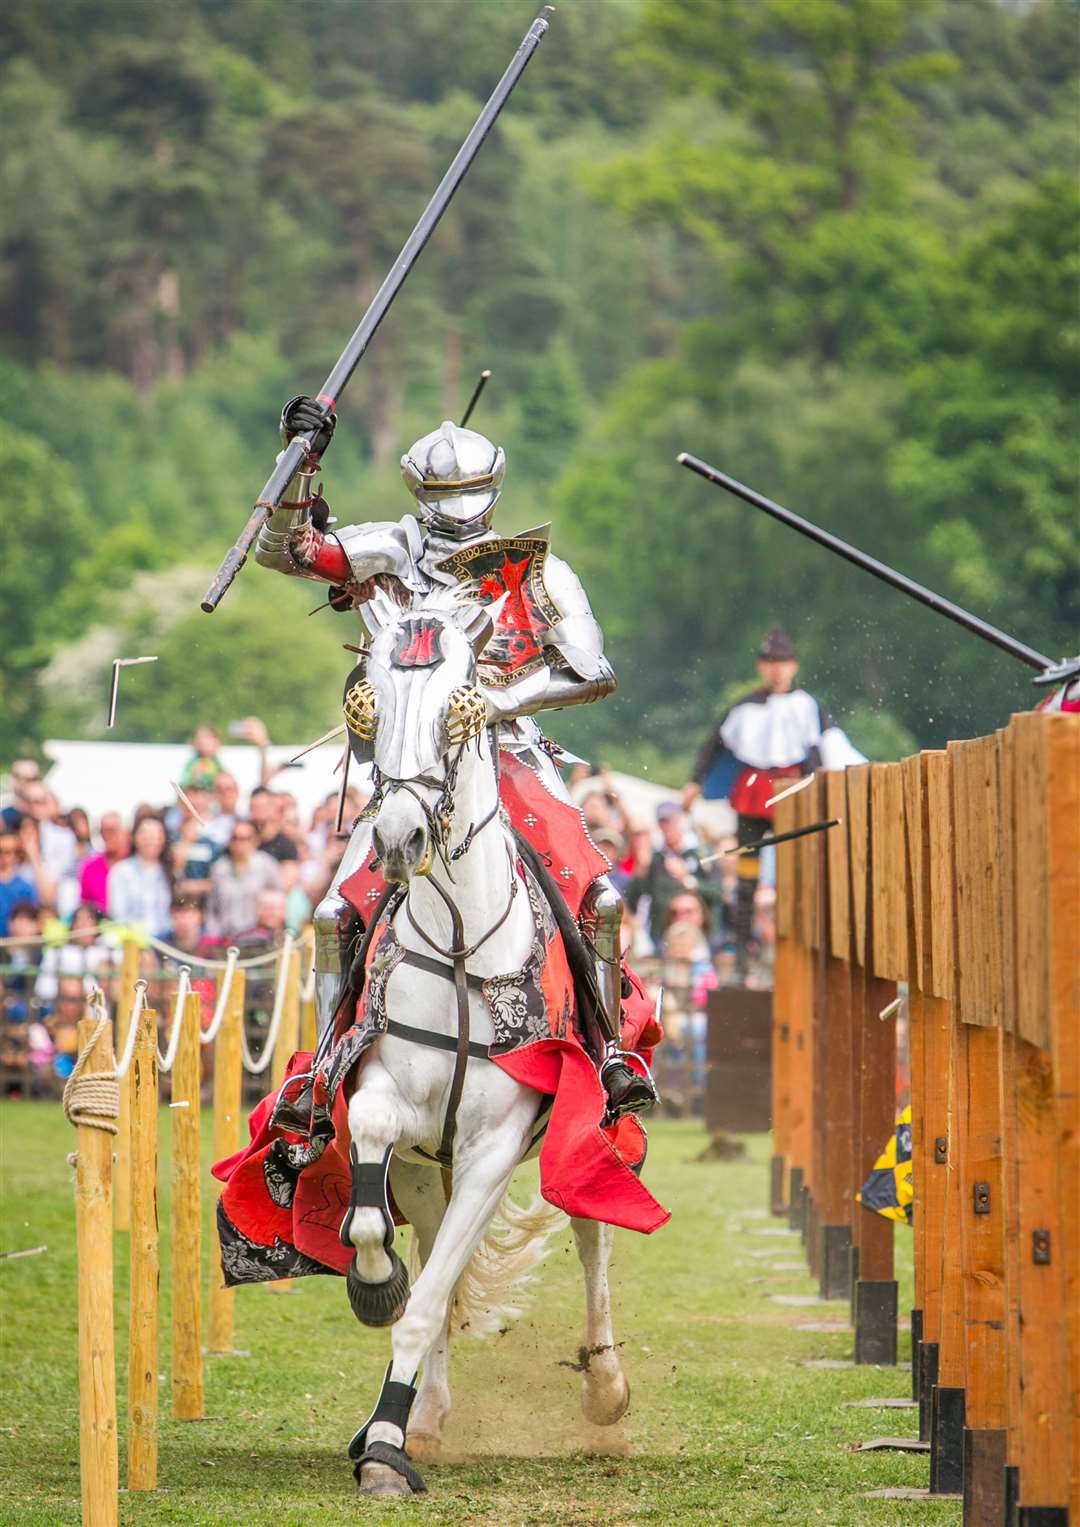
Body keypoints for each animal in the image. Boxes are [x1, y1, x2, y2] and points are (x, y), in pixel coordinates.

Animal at [333, 589, 629, 1496]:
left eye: (457, 714)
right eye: (372, 706)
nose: (397, 840)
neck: (464, 936)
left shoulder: (496, 1146)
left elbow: (432, 1299)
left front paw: (385, 1449)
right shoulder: (393, 1106)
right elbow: (386, 1239)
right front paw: (376, 1290)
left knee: (592, 1233)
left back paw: (606, 1387)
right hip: (427, 1168)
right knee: (434, 1241)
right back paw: (422, 1413)